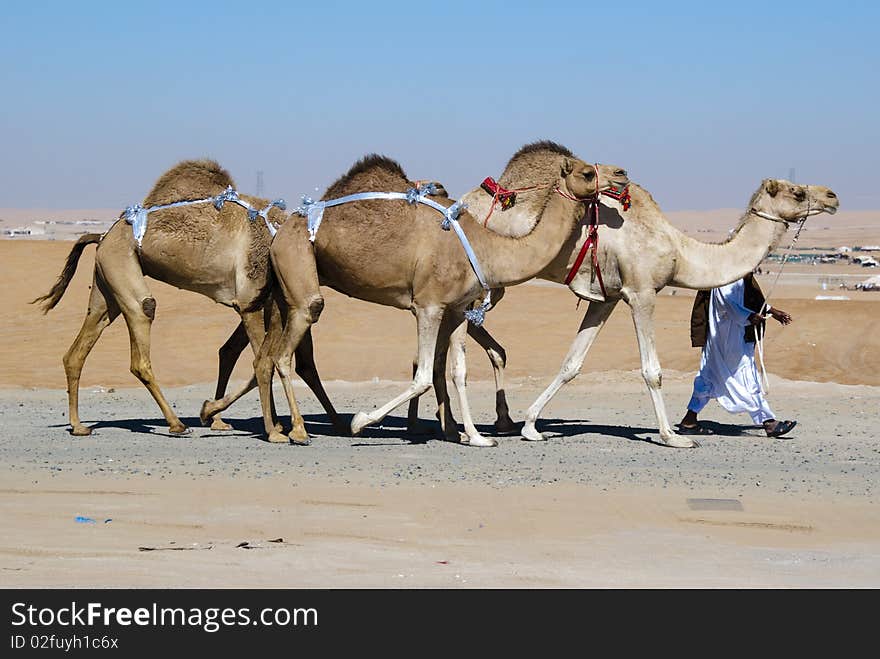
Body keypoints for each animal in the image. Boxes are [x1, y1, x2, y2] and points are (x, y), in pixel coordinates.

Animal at [32, 159, 332, 444]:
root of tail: (103, 235)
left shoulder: (270, 304)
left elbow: (261, 356)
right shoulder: (251, 301)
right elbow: (264, 362)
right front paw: (273, 429)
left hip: (106, 284)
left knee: (77, 350)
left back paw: (79, 426)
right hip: (120, 264)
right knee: (143, 325)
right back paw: (176, 424)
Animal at [203, 141, 628, 446]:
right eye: (587, 172)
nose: (621, 173)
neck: (487, 245)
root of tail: (281, 228)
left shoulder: (457, 309)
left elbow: (456, 371)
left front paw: (475, 437)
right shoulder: (428, 305)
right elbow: (423, 373)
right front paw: (362, 421)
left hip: (283, 287)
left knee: (266, 356)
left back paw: (227, 415)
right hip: (299, 270)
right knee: (287, 350)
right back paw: (297, 430)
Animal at [424, 178, 840, 448]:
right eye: (797, 191)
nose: (833, 196)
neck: (679, 250)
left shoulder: (605, 298)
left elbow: (571, 363)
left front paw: (531, 425)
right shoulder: (641, 292)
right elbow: (652, 370)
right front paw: (673, 436)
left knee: (449, 342)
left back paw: (463, 424)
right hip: (480, 283)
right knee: (454, 341)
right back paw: (466, 429)